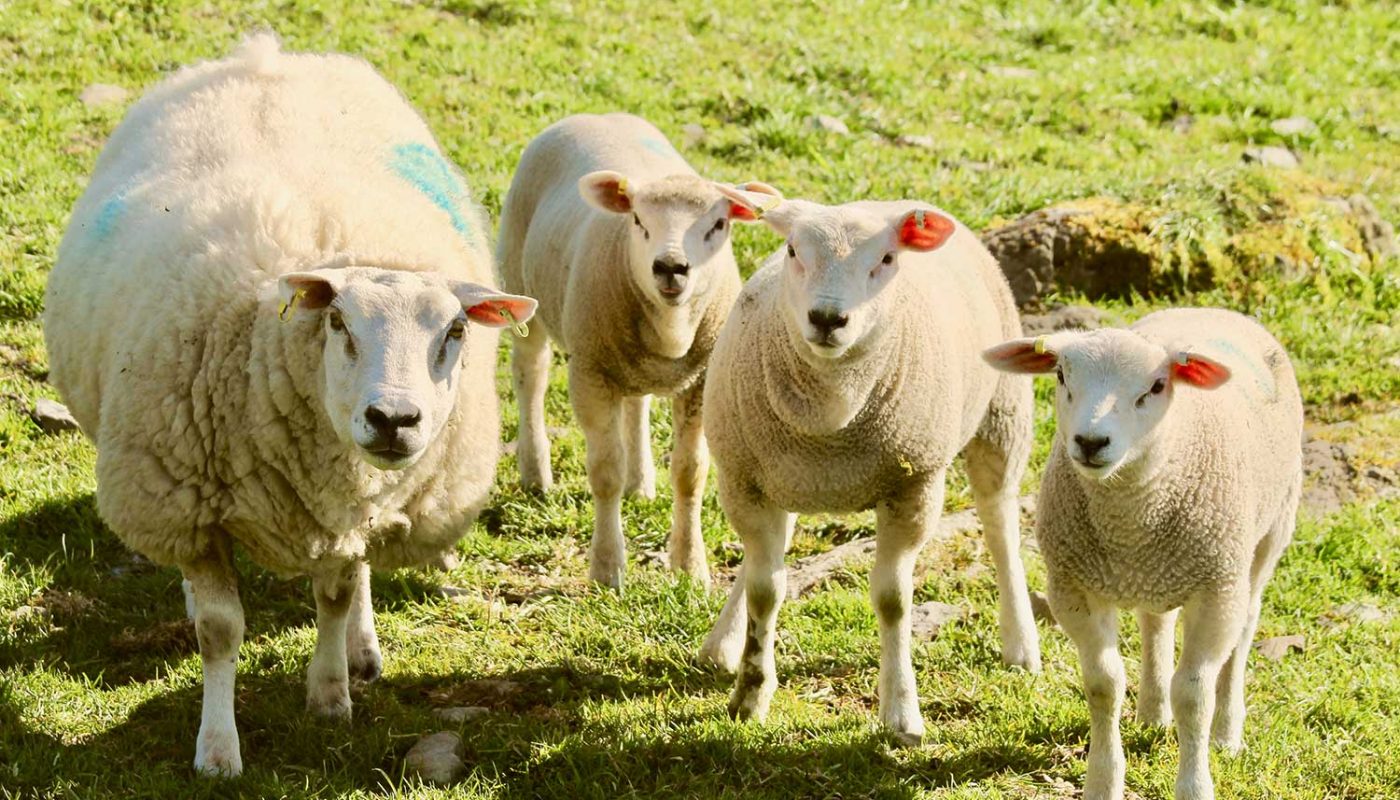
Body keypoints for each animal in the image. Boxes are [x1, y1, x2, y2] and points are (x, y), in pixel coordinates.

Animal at [42, 35, 536, 777]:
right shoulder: (188, 506)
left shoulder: (345, 504)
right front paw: (217, 750)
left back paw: (361, 648)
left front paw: (330, 694)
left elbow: (336, 593)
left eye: (454, 332)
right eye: (338, 323)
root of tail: (265, 53)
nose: (393, 420)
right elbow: (219, 630)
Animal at [496, 112, 780, 589]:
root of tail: (591, 115)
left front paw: (690, 567)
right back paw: (536, 472)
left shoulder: (701, 380)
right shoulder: (590, 373)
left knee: (637, 402)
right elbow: (604, 472)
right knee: (530, 375)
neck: (671, 329)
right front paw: (607, 569)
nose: (670, 267)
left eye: (718, 225)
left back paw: (640, 482)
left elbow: (690, 473)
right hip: (520, 285)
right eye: (639, 221)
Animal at [697, 193, 1043, 744]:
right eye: (792, 251)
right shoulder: (745, 482)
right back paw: (722, 644)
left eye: (886, 259)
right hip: (781, 474)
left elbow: (892, 600)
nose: (827, 318)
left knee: (1000, 524)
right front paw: (750, 694)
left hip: (1003, 414)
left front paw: (901, 714)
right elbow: (764, 590)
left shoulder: (913, 485)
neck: (832, 412)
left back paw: (1021, 644)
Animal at [983, 308, 1303, 800]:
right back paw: (1152, 713)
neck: (1130, 519)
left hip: (1267, 536)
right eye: (1061, 375)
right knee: (1156, 623)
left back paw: (1227, 733)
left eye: (1156, 386)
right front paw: (1103, 781)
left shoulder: (1215, 590)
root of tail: (1213, 310)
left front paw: (1194, 785)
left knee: (1244, 629)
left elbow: (1193, 694)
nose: (1091, 442)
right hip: (1163, 570)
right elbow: (1104, 684)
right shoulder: (1074, 588)